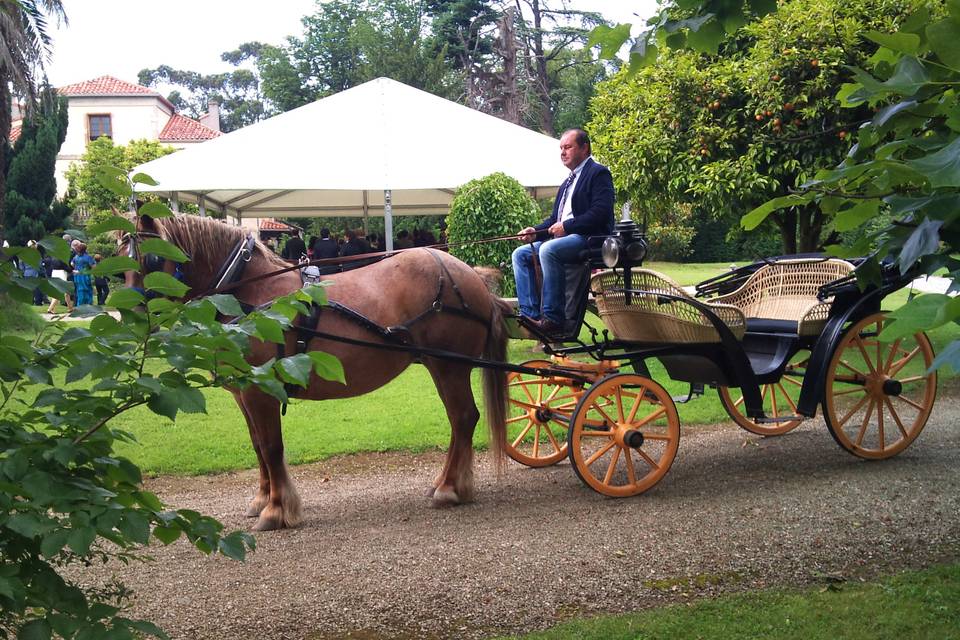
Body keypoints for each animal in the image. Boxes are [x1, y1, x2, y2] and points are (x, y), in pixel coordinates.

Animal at [122, 215, 510, 528]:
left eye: (151, 258)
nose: (133, 321)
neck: (249, 293)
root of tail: (470, 274)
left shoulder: (261, 390)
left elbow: (271, 446)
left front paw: (277, 510)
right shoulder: (244, 393)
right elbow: (257, 445)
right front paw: (262, 499)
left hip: (449, 366)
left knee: (463, 418)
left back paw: (449, 488)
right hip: (439, 366)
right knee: (460, 421)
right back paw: (448, 483)